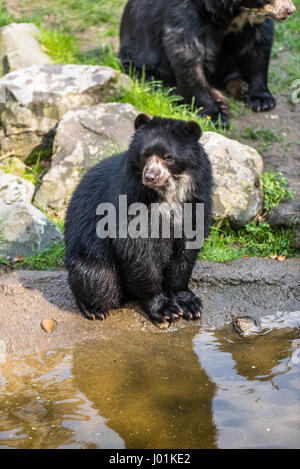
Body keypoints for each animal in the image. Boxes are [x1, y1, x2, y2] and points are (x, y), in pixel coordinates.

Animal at [64, 115, 212, 324]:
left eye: (168, 157)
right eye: (144, 155)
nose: (150, 176)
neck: (167, 194)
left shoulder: (195, 200)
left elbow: (187, 248)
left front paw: (190, 303)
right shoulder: (129, 196)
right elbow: (135, 247)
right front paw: (164, 308)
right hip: (90, 254)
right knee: (98, 279)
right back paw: (94, 309)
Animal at [119, 0, 296, 126]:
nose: (290, 9)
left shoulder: (253, 25)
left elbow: (260, 47)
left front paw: (262, 100)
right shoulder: (185, 17)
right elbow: (187, 56)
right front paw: (215, 115)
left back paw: (240, 87)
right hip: (137, 63)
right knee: (160, 84)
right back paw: (220, 101)